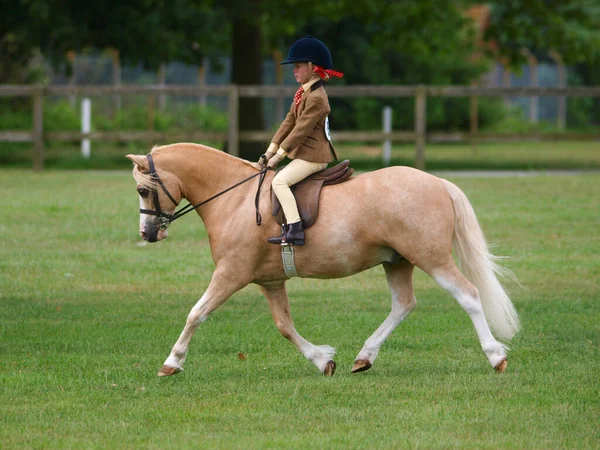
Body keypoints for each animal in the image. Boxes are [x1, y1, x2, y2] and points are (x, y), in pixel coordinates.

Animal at [127, 143, 520, 376]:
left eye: (143, 190)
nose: (148, 233)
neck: (235, 199)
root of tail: (439, 183)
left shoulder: (230, 274)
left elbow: (196, 313)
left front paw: (172, 362)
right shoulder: (270, 281)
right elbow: (284, 326)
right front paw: (323, 360)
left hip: (431, 258)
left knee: (468, 296)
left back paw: (495, 356)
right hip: (397, 261)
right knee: (403, 304)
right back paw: (365, 357)